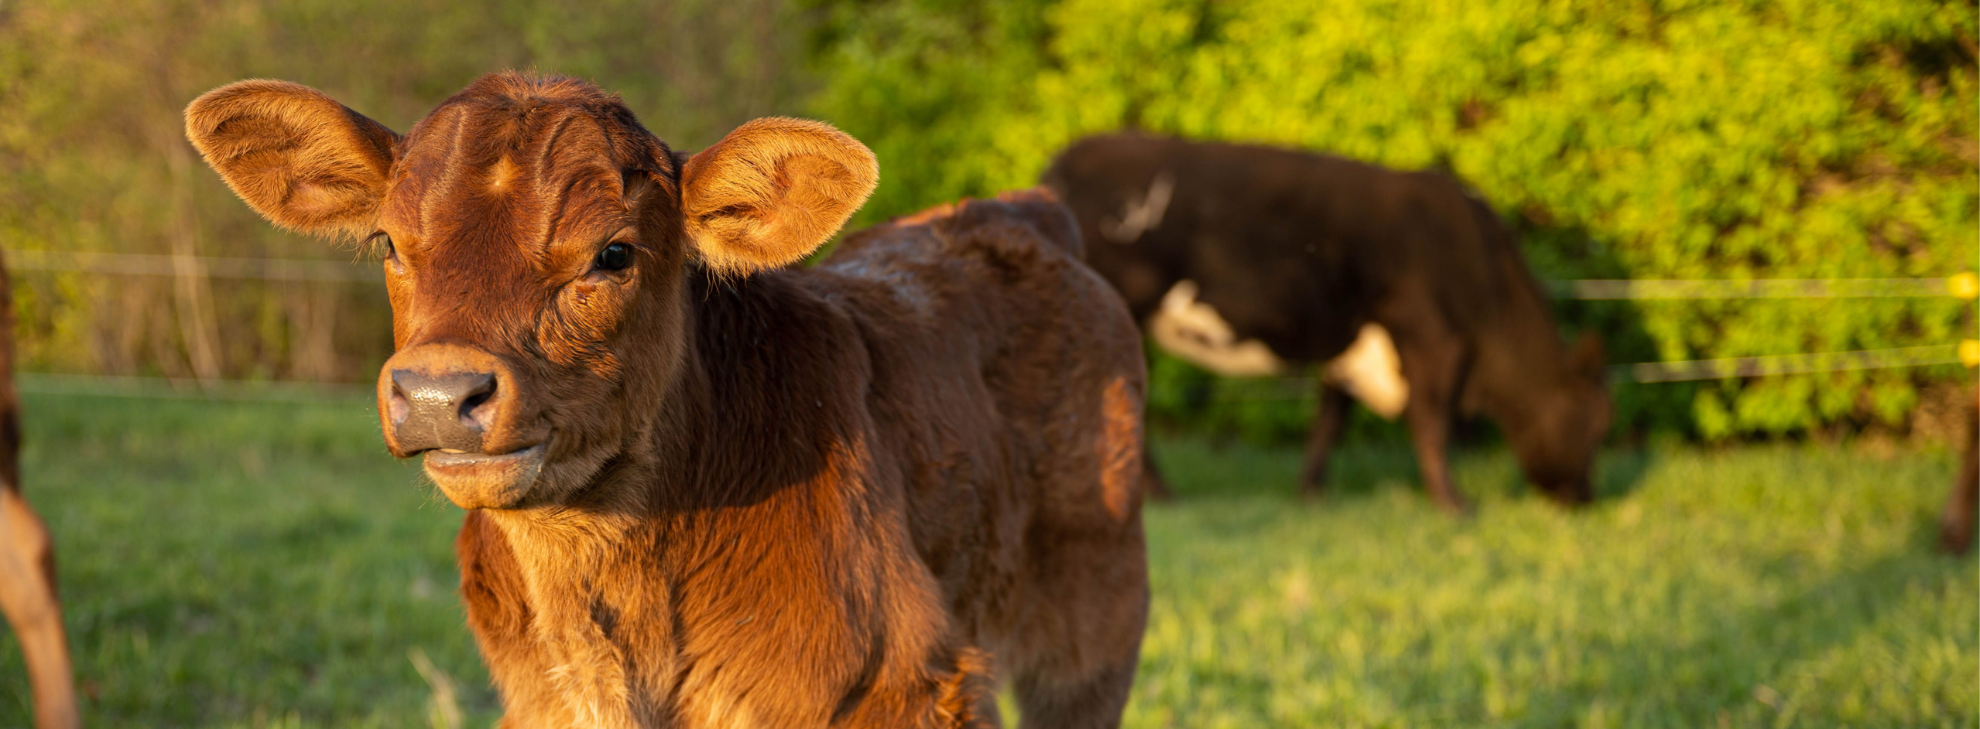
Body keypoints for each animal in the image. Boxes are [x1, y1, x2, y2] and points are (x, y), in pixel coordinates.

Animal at [187, 73, 1149, 728]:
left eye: (613, 253)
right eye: (389, 241)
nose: (436, 391)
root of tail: (1010, 212)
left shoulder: (906, 686)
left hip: (1094, 615)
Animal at [1043, 133, 1612, 513]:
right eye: (1597, 426)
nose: (1585, 499)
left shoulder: (1353, 341)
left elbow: (1330, 420)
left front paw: (1310, 493)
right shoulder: (1433, 336)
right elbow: (1432, 422)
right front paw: (1454, 504)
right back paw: (1158, 496)